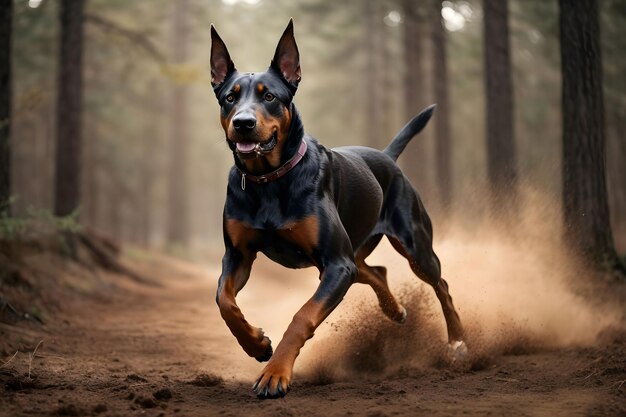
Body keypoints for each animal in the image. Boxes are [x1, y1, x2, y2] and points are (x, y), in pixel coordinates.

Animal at [210, 20, 464, 400]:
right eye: (230, 96)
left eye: (269, 96)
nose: (242, 123)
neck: (269, 179)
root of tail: (387, 157)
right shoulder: (239, 254)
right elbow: (224, 300)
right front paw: (256, 343)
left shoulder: (336, 263)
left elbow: (303, 315)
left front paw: (275, 374)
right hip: (353, 254)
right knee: (375, 272)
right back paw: (395, 310)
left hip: (413, 243)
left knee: (440, 283)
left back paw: (458, 341)